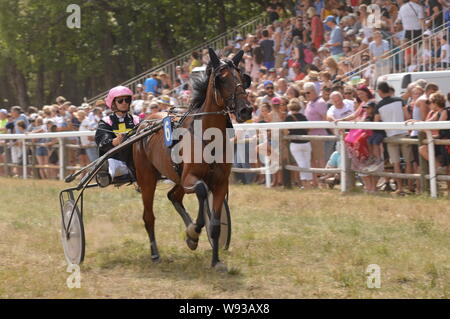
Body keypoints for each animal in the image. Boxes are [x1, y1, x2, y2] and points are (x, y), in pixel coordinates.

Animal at [133, 48, 253, 272]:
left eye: (243, 77)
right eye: (222, 78)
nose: (246, 109)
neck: (208, 137)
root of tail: (144, 122)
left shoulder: (220, 183)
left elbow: (215, 224)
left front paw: (215, 260)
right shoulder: (191, 178)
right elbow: (201, 190)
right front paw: (193, 232)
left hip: (176, 177)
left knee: (173, 196)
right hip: (147, 178)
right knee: (148, 216)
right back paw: (155, 253)